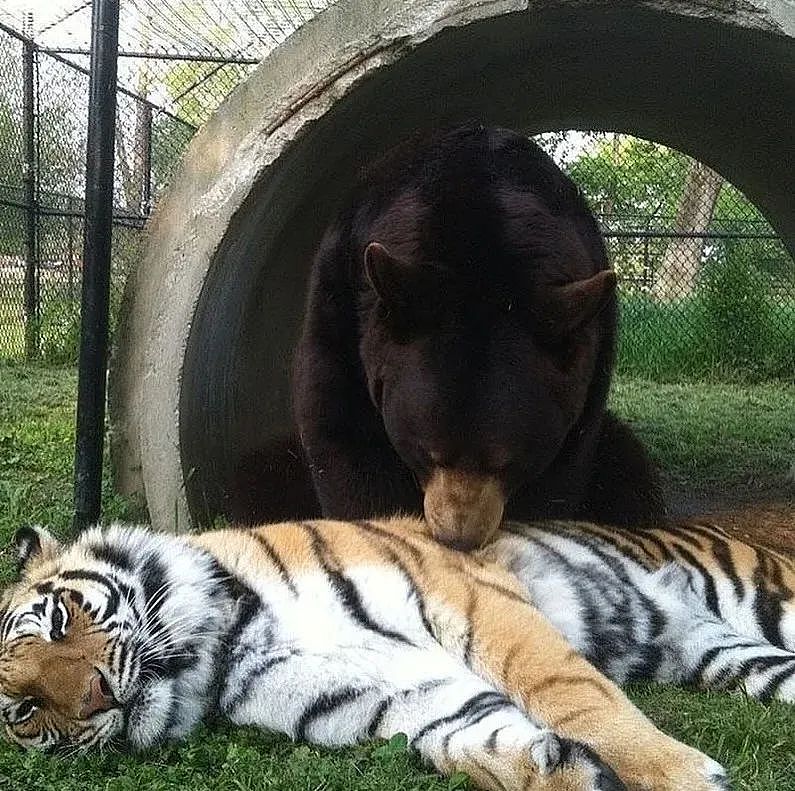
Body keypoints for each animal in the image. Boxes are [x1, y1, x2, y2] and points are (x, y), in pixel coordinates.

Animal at [1, 511, 793, 791]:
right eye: (25, 711)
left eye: (62, 620)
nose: (96, 696)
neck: (224, 649)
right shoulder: (384, 691)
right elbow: (472, 737)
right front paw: (566, 774)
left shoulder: (474, 598)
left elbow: (573, 695)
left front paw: (681, 778)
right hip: (740, 657)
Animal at [293, 124, 664, 549]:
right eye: (427, 451)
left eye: (508, 461)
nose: (459, 537)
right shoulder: (341, 300)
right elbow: (343, 432)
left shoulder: (592, 360)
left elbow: (562, 470)